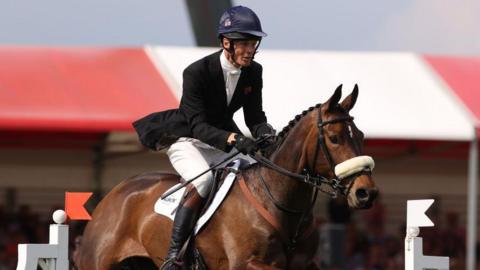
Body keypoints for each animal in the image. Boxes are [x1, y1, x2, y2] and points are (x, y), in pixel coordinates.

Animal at [74, 85, 378, 270]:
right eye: (335, 138)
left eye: (361, 135)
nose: (366, 193)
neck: (277, 199)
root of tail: (112, 195)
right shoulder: (246, 263)